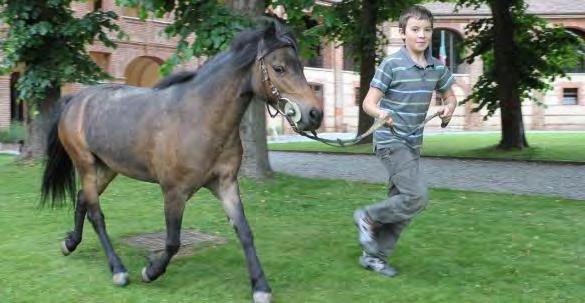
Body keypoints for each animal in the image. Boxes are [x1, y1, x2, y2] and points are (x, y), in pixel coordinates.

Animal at [40, 24, 324, 303]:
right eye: (279, 68)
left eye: (300, 66)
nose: (314, 114)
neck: (199, 118)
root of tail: (76, 100)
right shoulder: (174, 192)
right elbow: (173, 241)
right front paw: (151, 271)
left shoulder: (225, 185)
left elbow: (244, 232)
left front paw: (260, 286)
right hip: (86, 165)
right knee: (96, 214)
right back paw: (118, 269)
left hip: (107, 168)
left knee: (82, 200)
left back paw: (70, 243)